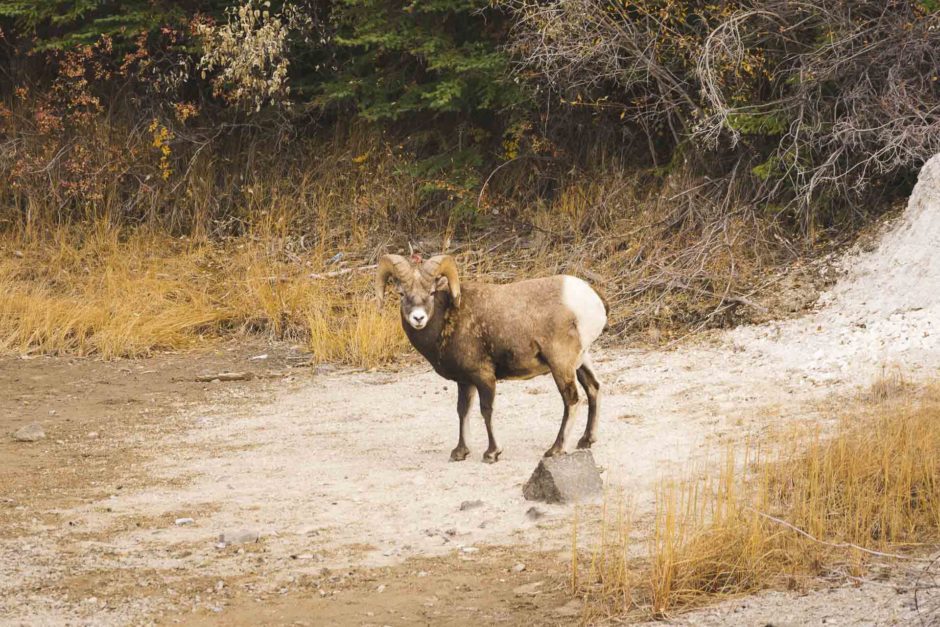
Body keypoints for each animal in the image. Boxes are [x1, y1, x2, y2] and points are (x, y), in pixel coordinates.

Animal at [376, 253, 608, 464]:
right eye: (401, 293)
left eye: (431, 292)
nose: (418, 318)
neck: (447, 320)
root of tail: (593, 301)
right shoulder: (465, 381)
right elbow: (463, 411)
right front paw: (460, 452)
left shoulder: (484, 377)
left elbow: (486, 411)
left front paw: (491, 453)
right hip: (580, 361)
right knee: (593, 387)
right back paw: (586, 440)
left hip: (561, 364)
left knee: (571, 399)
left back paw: (555, 449)